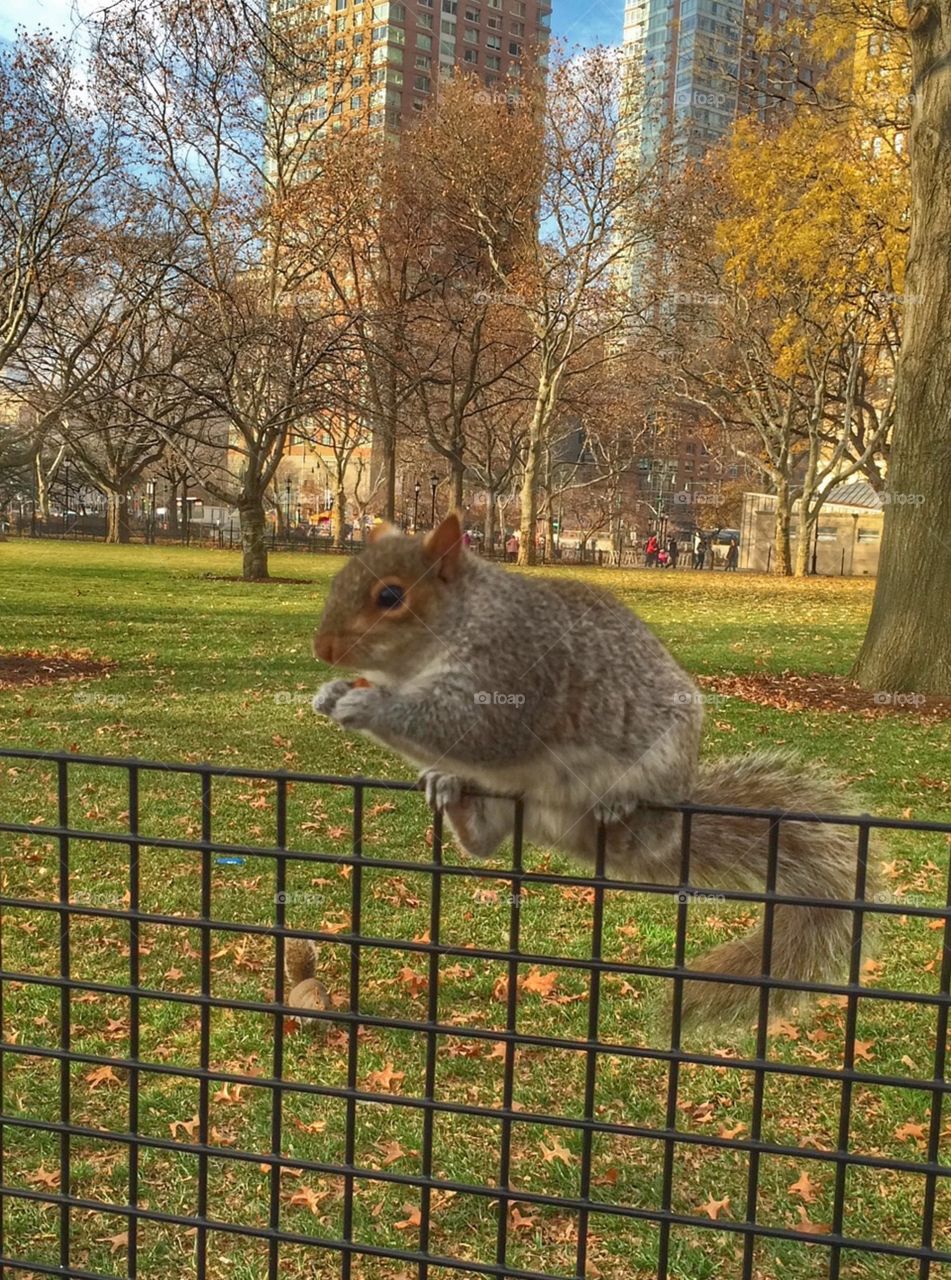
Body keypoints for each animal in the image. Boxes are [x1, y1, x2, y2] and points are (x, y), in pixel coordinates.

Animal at [311, 512, 858, 1024]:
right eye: (339, 580)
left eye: (391, 596)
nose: (323, 650)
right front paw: (333, 693)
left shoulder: (511, 674)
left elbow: (473, 729)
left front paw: (367, 706)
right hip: (515, 803)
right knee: (484, 840)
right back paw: (450, 789)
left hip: (655, 779)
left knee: (644, 828)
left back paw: (621, 805)